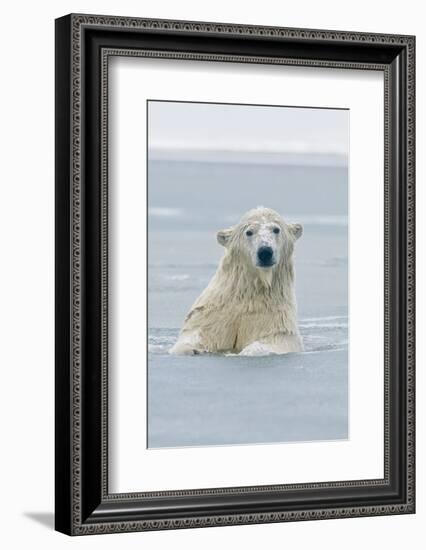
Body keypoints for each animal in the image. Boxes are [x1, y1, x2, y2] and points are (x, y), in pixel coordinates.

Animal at [170, 208, 302, 358]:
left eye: (276, 229)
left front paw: (249, 351)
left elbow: (276, 339)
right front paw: (191, 349)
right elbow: (198, 334)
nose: (265, 252)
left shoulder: (275, 317)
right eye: (249, 232)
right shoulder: (214, 313)